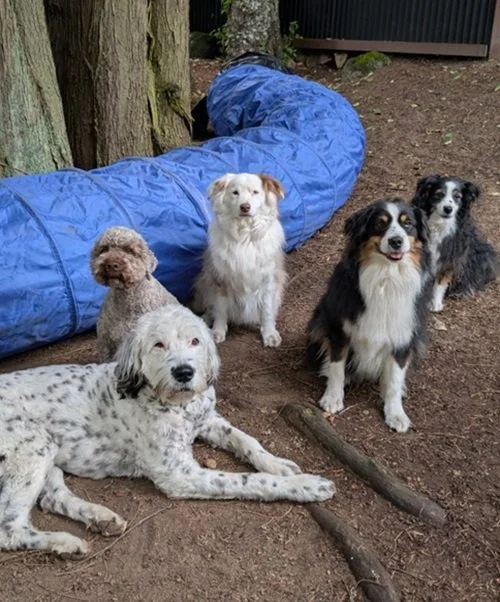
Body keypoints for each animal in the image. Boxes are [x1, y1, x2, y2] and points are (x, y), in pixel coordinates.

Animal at [0, 304, 334, 556]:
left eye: (195, 341)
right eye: (158, 345)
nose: (184, 372)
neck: (178, 405)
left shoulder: (209, 420)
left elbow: (247, 440)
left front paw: (278, 464)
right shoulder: (179, 474)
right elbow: (246, 480)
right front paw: (305, 485)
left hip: (47, 455)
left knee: (52, 498)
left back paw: (101, 518)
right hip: (34, 448)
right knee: (10, 529)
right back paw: (63, 541)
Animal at [193, 173, 286, 347]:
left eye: (255, 192)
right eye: (235, 192)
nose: (245, 207)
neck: (244, 236)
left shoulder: (268, 280)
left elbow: (267, 310)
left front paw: (269, 333)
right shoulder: (220, 280)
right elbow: (220, 309)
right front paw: (217, 331)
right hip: (205, 280)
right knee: (209, 308)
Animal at [306, 199, 432, 433]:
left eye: (408, 223)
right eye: (379, 224)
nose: (396, 241)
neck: (386, 278)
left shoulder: (404, 335)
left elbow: (394, 380)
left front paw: (396, 414)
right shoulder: (339, 328)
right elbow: (337, 366)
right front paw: (332, 398)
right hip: (319, 322)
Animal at [412, 175, 497, 312]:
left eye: (457, 197)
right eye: (439, 194)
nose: (448, 209)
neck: (439, 224)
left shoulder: (451, 255)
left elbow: (441, 281)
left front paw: (435, 304)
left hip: (482, 254)